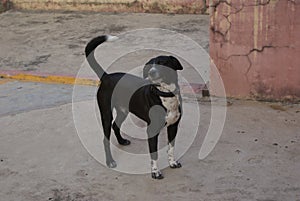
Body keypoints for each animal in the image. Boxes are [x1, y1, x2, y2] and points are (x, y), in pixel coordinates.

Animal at [84, 35, 183, 179]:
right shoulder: (151, 130)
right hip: (106, 113)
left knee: (115, 125)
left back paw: (121, 141)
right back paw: (110, 161)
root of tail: (106, 76)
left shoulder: (173, 126)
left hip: (123, 111)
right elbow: (154, 154)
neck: (165, 93)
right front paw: (155, 172)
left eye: (162, 63)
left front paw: (172, 163)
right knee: (105, 139)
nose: (152, 73)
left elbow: (171, 148)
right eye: (149, 66)